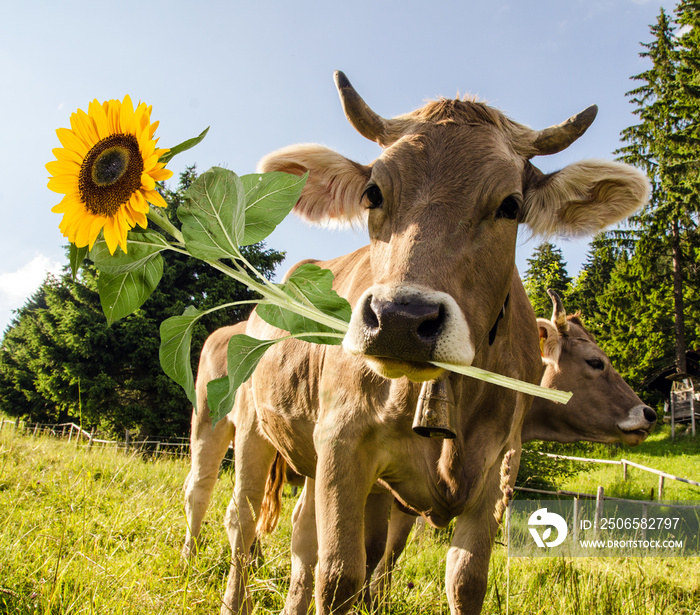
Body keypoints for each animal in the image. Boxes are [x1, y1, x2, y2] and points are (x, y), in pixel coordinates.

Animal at [196, 73, 644, 615]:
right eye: (372, 193)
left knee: (302, 537)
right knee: (234, 517)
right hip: (245, 426)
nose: (400, 319)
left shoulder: (496, 469)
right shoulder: (345, 445)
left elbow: (459, 580)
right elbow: (342, 575)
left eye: (511, 205)